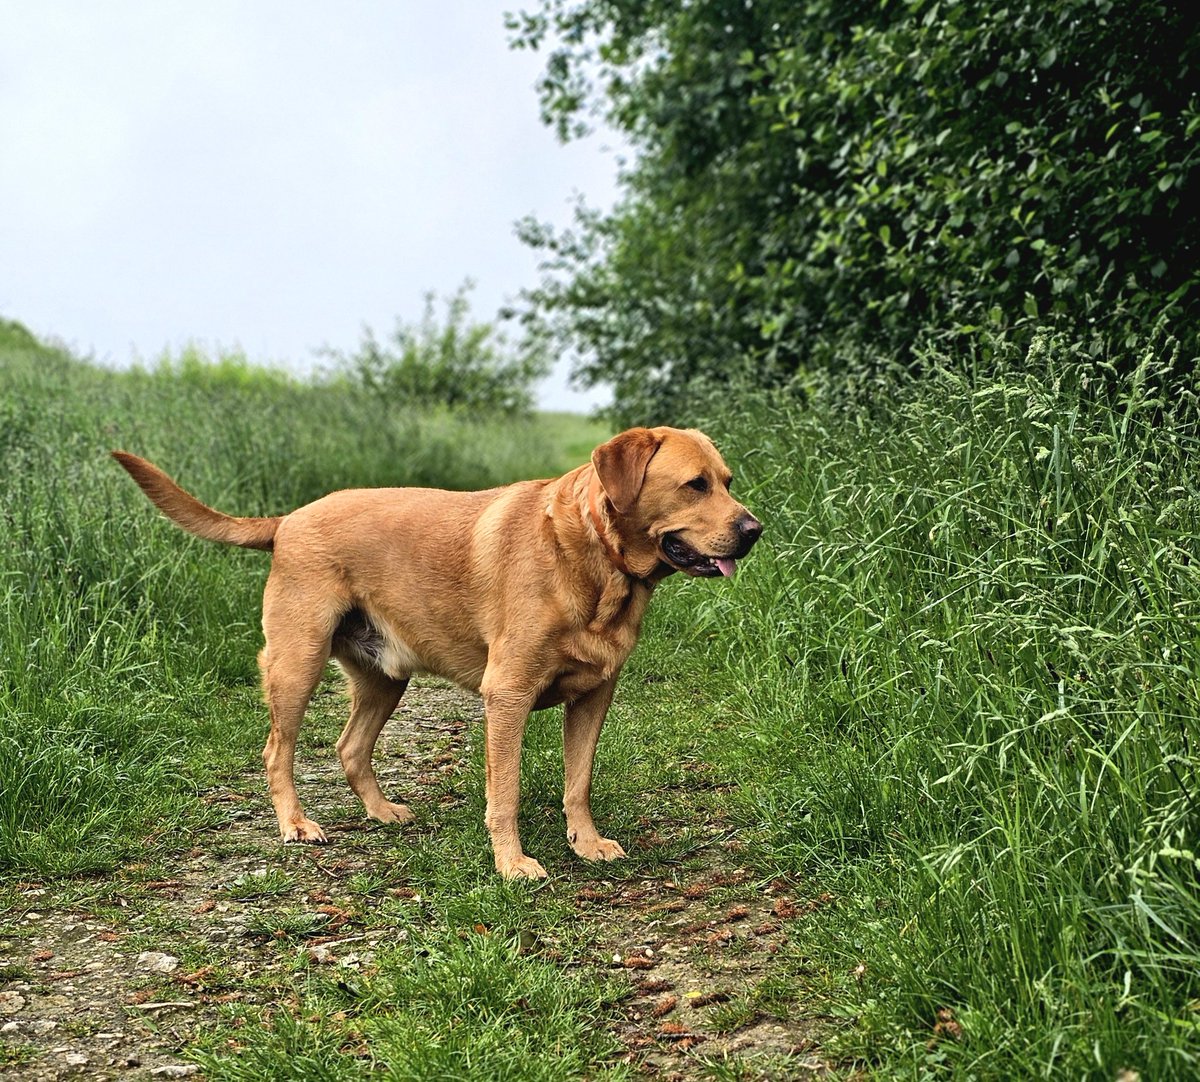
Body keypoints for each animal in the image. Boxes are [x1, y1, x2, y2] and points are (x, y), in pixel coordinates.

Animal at [117, 427, 763, 878]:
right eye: (695, 484)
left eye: (728, 481)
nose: (754, 530)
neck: (596, 559)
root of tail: (287, 520)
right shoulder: (508, 695)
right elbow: (504, 793)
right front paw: (512, 864)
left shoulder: (594, 696)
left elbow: (577, 782)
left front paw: (586, 842)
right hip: (296, 664)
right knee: (278, 750)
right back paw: (296, 824)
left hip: (383, 679)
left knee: (350, 747)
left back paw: (381, 812)